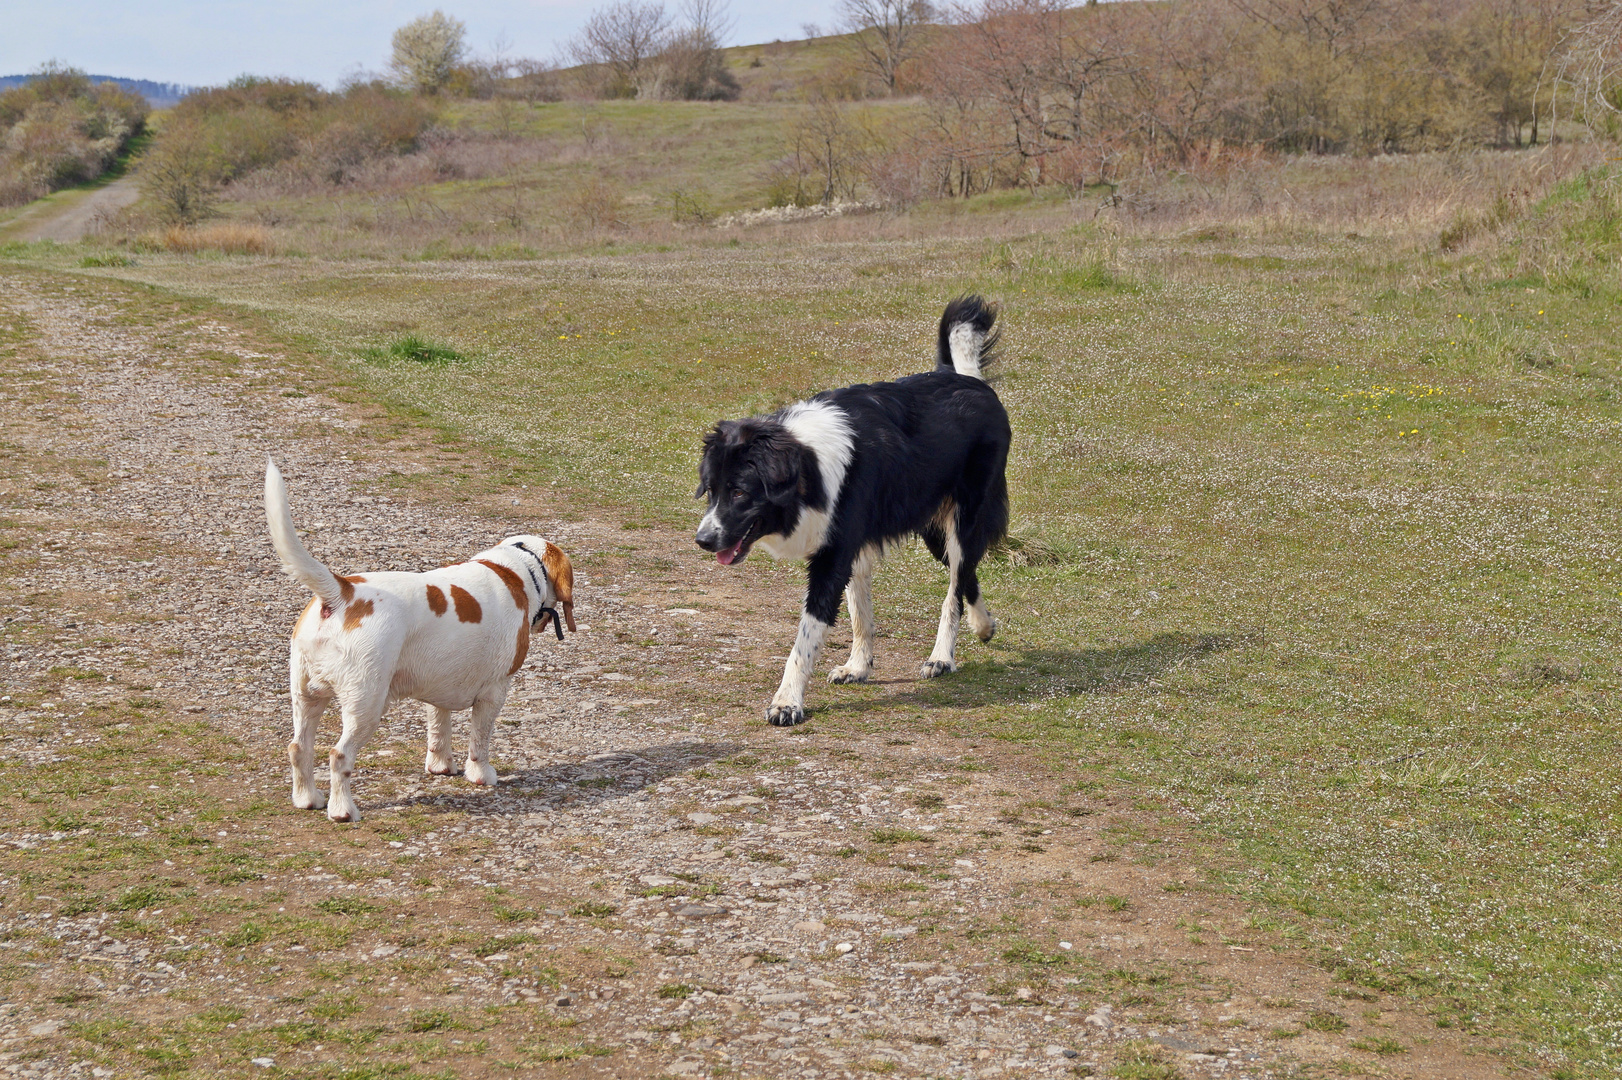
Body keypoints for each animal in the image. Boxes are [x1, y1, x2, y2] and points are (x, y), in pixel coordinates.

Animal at [262, 457, 574, 820]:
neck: (515, 569)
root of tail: (341, 592)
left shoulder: (439, 686)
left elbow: (438, 729)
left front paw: (441, 767)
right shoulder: (494, 692)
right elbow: (479, 741)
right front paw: (481, 775)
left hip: (306, 696)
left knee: (299, 747)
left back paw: (307, 798)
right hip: (365, 705)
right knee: (339, 755)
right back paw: (343, 810)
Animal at [694, 295, 1005, 723]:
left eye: (740, 492)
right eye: (711, 490)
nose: (703, 540)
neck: (808, 467)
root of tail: (970, 381)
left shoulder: (835, 555)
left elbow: (805, 638)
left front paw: (787, 701)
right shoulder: (851, 547)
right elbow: (860, 613)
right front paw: (859, 667)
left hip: (963, 520)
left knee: (955, 588)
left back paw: (942, 657)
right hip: (935, 531)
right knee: (966, 575)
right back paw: (982, 625)